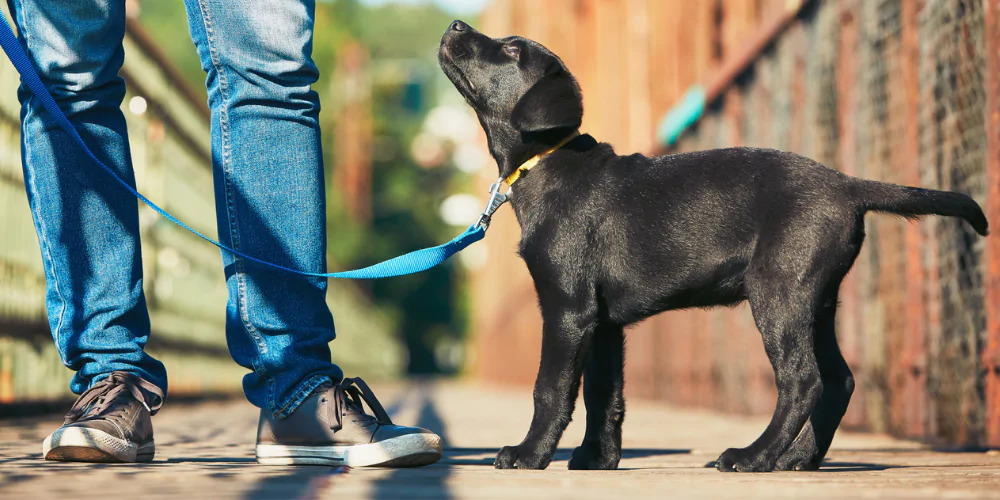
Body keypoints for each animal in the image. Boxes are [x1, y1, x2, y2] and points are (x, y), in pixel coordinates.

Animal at [438, 20, 984, 472]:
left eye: (511, 49)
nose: (455, 22)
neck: (546, 161)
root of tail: (848, 185)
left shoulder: (568, 309)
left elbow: (550, 389)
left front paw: (529, 455)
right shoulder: (603, 322)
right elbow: (604, 396)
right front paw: (597, 459)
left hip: (778, 293)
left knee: (803, 380)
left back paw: (754, 457)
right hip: (816, 299)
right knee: (838, 380)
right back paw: (797, 459)